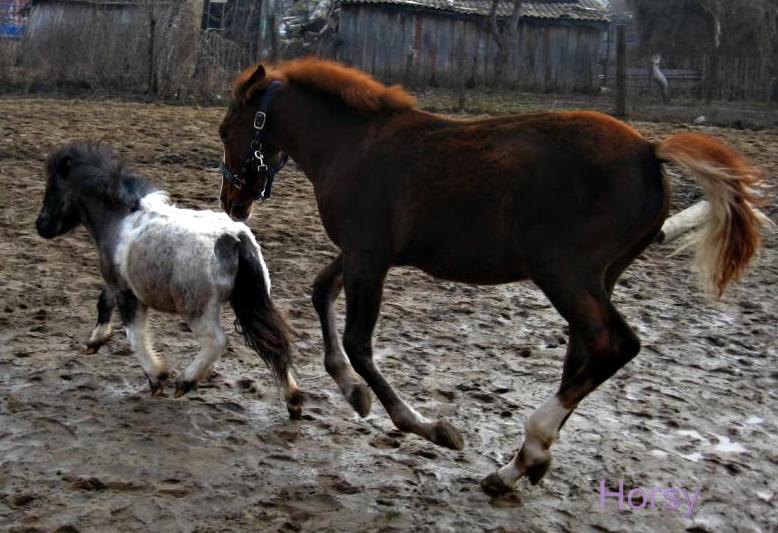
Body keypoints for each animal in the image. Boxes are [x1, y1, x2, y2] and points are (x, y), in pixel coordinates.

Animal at [217, 58, 764, 494]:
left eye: (227, 131)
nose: (232, 203)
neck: (354, 144)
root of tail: (650, 151)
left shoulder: (367, 256)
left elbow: (358, 343)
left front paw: (429, 427)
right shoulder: (361, 253)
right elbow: (319, 293)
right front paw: (353, 393)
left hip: (564, 272)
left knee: (614, 344)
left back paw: (529, 449)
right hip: (600, 276)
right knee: (583, 352)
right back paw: (520, 467)